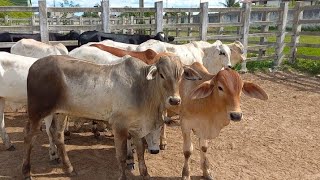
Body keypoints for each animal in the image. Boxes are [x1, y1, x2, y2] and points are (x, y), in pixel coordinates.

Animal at [22, 54, 201, 179]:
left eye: (180, 76)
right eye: (162, 75)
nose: (174, 100)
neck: (143, 88)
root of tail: (34, 65)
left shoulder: (137, 127)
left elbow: (140, 151)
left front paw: (145, 173)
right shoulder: (119, 125)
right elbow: (121, 156)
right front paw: (123, 176)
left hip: (61, 112)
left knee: (57, 135)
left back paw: (69, 168)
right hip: (36, 112)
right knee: (30, 138)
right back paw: (26, 172)